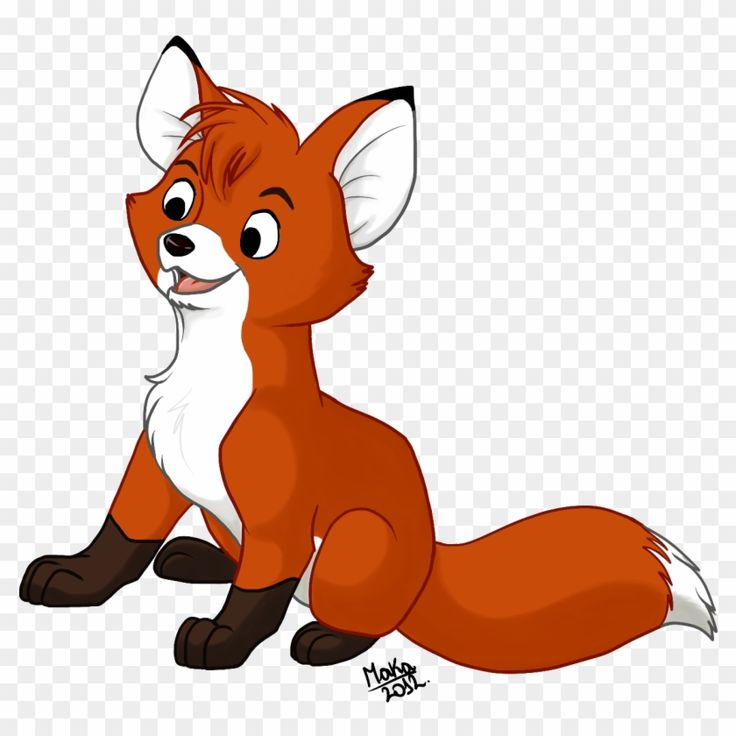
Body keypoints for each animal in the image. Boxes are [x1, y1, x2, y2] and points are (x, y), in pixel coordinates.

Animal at [19, 37, 716, 672]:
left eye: (256, 236)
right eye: (177, 201)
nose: (179, 242)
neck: (205, 393)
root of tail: (429, 561)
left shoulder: (280, 510)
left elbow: (260, 589)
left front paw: (223, 640)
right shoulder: (155, 466)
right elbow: (121, 537)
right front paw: (77, 579)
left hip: (354, 542)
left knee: (363, 620)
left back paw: (326, 639)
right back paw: (199, 557)